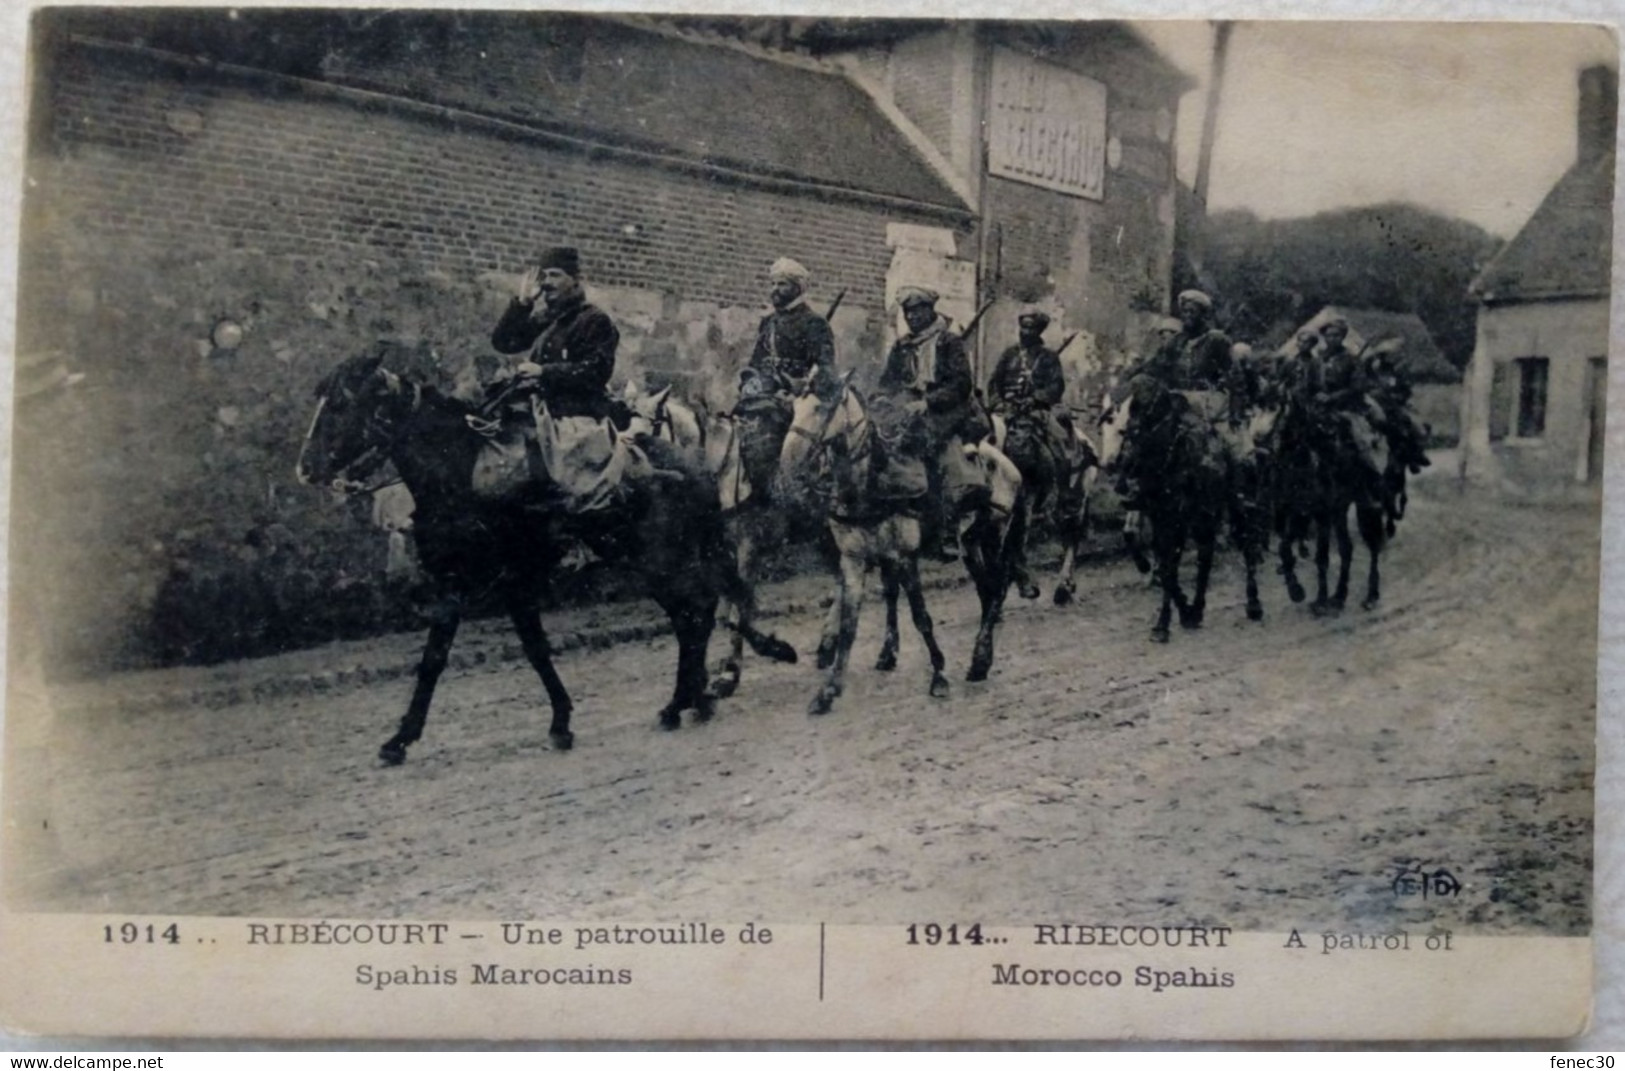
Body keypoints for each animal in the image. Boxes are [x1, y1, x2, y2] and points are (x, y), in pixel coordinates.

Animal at [300, 349, 799, 763]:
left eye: (341, 403)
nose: (306, 468)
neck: (462, 473)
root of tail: (694, 465)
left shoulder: (477, 584)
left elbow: (441, 658)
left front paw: (401, 738)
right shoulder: (491, 585)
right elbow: (524, 650)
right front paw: (560, 721)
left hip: (659, 563)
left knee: (695, 613)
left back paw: (689, 699)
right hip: (651, 565)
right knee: (691, 616)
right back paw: (687, 700)